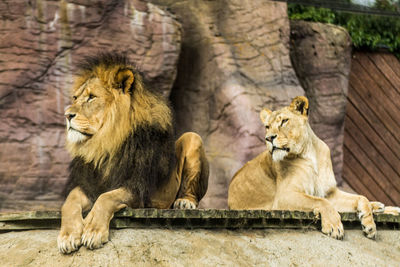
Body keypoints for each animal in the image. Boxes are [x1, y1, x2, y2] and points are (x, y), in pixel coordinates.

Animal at [58, 54, 211, 253]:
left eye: (91, 97)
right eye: (75, 98)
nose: (67, 115)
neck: (104, 144)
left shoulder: (136, 187)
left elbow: (106, 197)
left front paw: (93, 231)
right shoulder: (88, 184)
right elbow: (70, 201)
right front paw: (68, 236)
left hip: (193, 138)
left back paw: (185, 202)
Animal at [230, 96, 386, 241]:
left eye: (284, 121)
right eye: (267, 127)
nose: (268, 138)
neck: (309, 153)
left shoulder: (329, 193)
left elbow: (361, 197)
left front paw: (369, 225)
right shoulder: (283, 197)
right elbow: (320, 201)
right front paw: (334, 226)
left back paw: (378, 206)